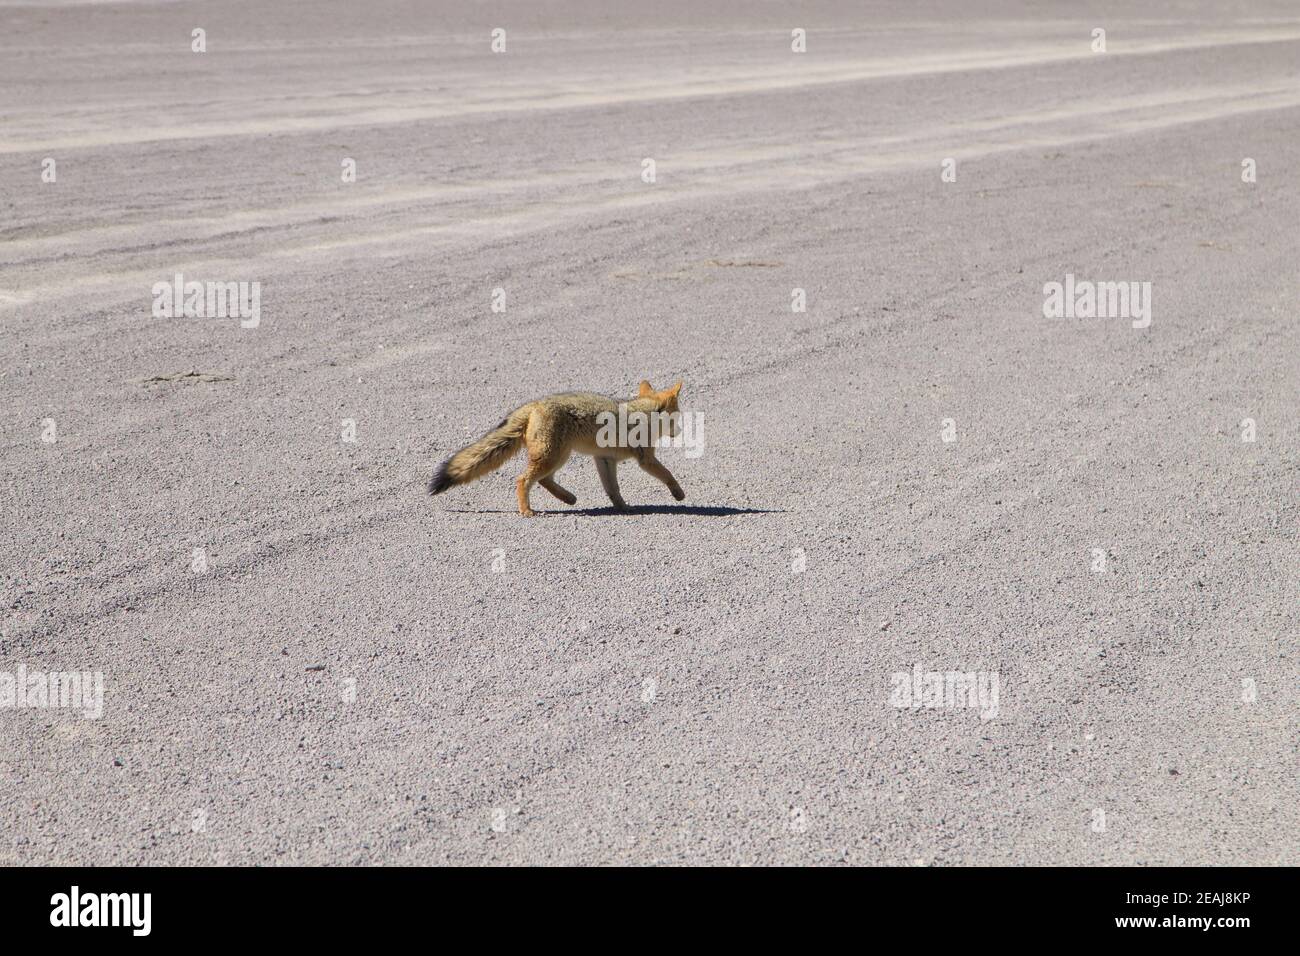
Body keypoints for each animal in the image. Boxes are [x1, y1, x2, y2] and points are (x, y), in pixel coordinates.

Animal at [428, 380, 687, 516]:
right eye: (678, 417)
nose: (682, 430)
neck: (642, 414)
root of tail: (534, 404)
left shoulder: (604, 459)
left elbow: (613, 488)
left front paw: (623, 507)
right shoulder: (645, 459)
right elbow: (668, 474)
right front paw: (678, 493)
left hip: (557, 457)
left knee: (543, 480)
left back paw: (568, 498)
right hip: (554, 457)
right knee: (524, 479)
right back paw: (527, 510)